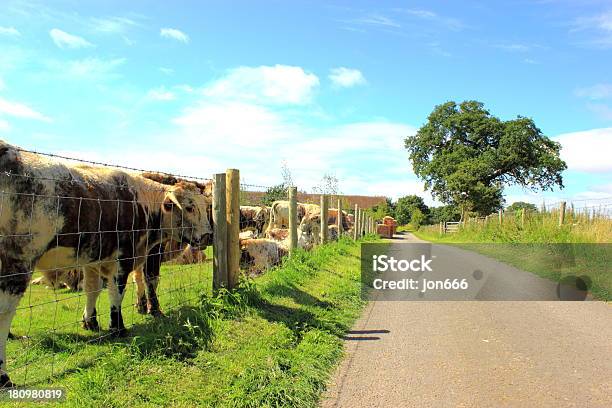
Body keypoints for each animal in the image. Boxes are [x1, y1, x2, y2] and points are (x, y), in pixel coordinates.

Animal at [0, 140, 213, 386]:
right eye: (189, 207)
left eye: (205, 206)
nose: (207, 236)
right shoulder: (123, 259)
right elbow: (117, 292)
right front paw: (118, 326)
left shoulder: (92, 258)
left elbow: (92, 290)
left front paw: (90, 322)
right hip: (17, 263)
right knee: (4, 311)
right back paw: (4, 376)